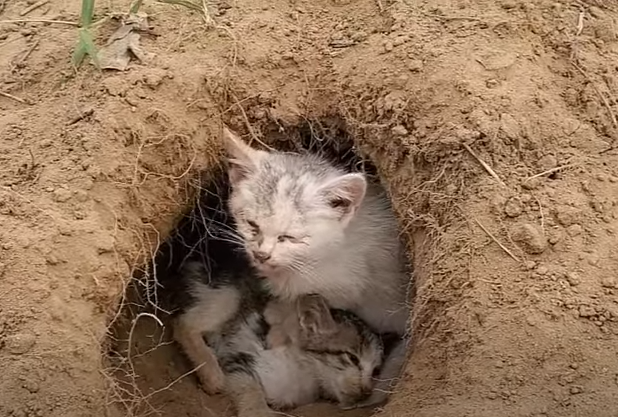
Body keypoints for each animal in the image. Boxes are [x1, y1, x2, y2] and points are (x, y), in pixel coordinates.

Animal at [171, 262, 380, 414]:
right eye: (352, 358)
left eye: (376, 370)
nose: (367, 391)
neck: (303, 370)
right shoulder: (238, 352)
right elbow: (248, 385)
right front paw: (259, 411)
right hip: (228, 294)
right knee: (183, 324)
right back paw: (212, 375)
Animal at [220, 127, 410, 406]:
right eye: (252, 225)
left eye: (289, 237)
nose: (261, 254)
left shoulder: (348, 286)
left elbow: (308, 304)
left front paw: (279, 327)